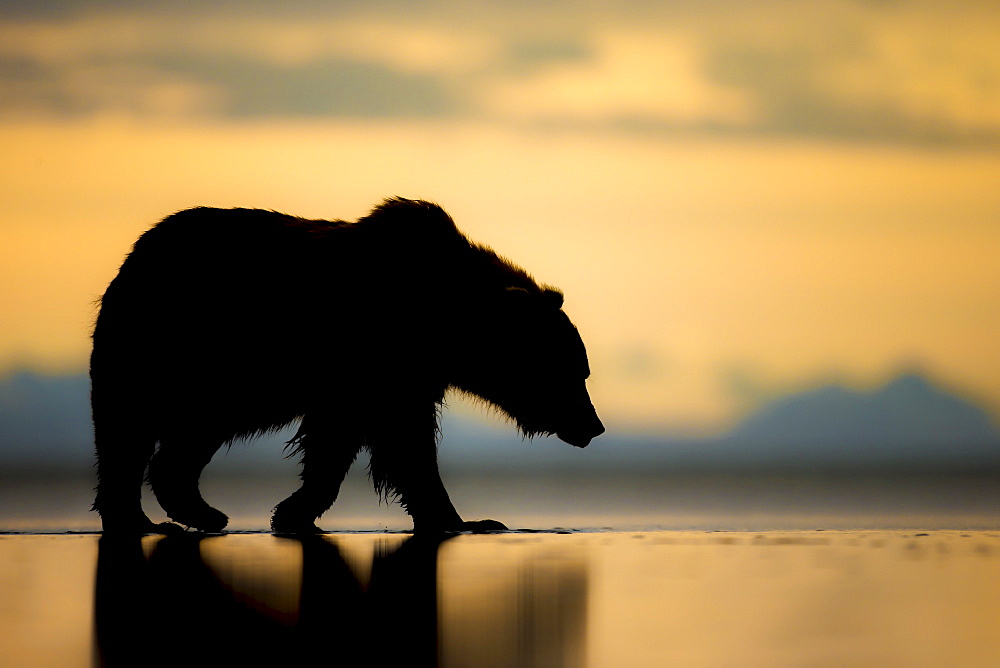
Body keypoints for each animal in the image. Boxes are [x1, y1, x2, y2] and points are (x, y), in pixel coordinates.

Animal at [94, 198, 604, 532]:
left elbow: (353, 440)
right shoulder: (374, 358)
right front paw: (468, 519)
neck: (444, 321)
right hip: (170, 348)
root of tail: (136, 252)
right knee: (128, 430)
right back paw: (147, 518)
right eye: (573, 372)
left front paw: (293, 511)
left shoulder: (397, 374)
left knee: (179, 437)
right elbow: (397, 442)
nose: (594, 426)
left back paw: (195, 511)